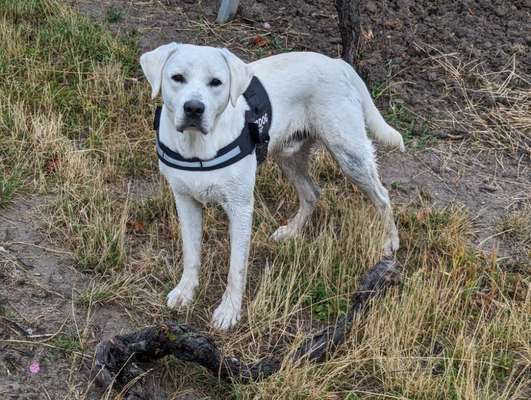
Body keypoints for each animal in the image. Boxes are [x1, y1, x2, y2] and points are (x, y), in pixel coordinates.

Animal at [139, 43, 406, 332]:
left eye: (216, 82)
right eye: (177, 78)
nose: (194, 108)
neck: (197, 147)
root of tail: (339, 64)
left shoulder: (240, 208)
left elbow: (236, 269)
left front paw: (229, 311)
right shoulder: (185, 200)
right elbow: (191, 254)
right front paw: (185, 292)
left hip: (349, 155)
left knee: (382, 196)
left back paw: (390, 242)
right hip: (288, 155)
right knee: (312, 193)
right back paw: (291, 232)